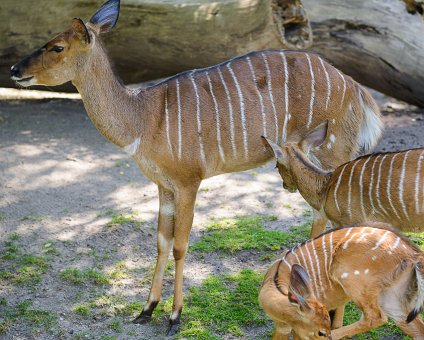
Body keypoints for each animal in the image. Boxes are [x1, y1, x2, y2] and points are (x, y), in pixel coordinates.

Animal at [9, 0, 382, 334]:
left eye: (57, 46)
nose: (15, 70)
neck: (143, 119)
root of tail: (358, 91)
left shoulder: (189, 181)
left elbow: (180, 245)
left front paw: (174, 318)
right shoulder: (163, 185)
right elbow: (161, 241)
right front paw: (145, 311)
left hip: (334, 154)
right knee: (322, 216)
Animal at [258, 223, 424, 340]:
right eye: (320, 332)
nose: (328, 335)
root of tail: (413, 254)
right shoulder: (283, 326)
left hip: (352, 278)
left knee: (375, 317)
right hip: (393, 298)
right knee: (416, 329)